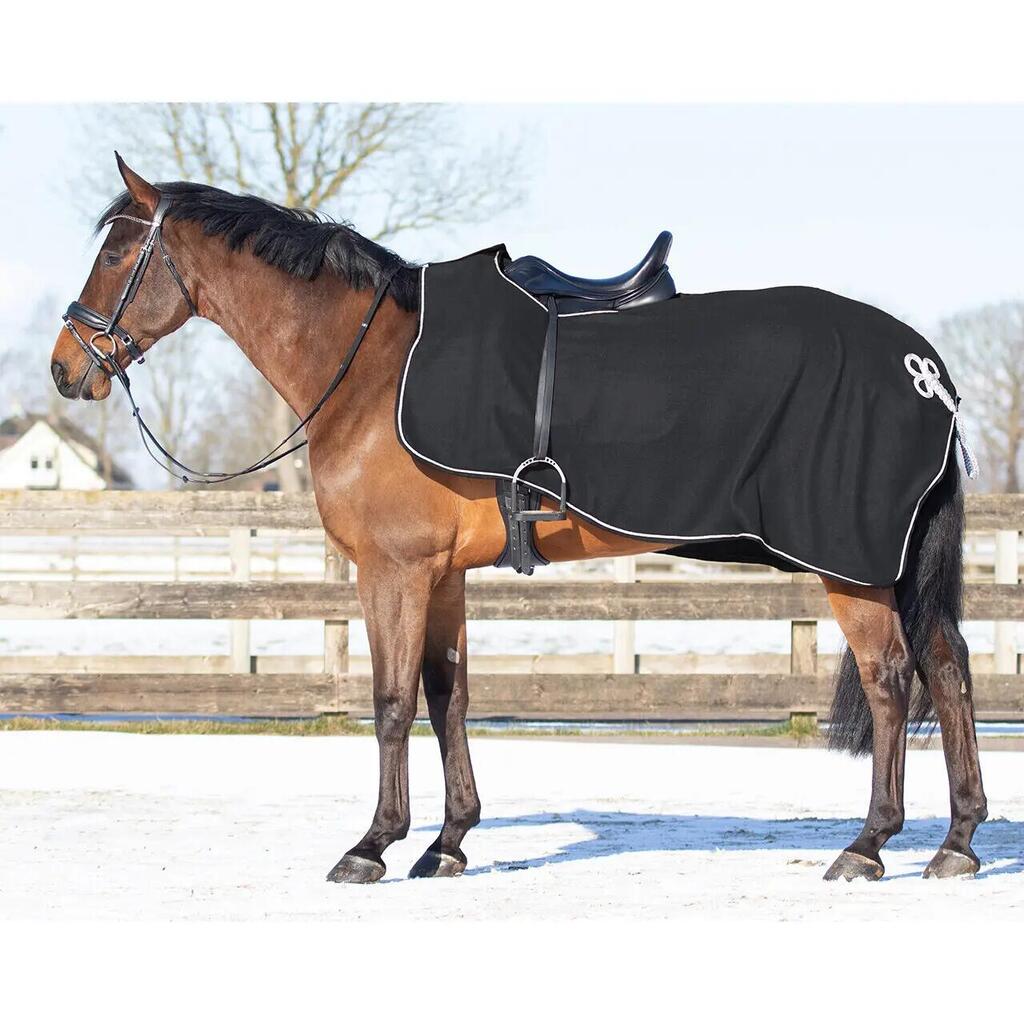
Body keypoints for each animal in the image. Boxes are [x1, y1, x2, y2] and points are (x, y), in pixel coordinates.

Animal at [49, 154, 987, 885]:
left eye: (118, 250)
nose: (66, 367)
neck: (372, 365)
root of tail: (923, 367)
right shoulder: (442, 574)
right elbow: (449, 696)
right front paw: (448, 843)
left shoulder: (393, 570)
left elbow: (391, 701)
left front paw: (374, 844)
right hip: (893, 564)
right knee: (947, 669)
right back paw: (957, 842)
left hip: (852, 564)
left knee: (892, 679)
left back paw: (868, 846)